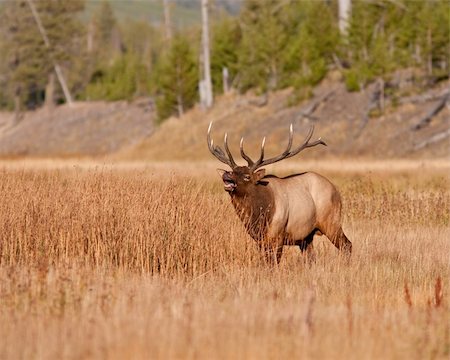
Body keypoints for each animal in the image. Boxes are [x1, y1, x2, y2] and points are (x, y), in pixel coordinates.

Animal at [207, 122, 352, 262]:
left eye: (247, 176)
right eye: (232, 171)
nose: (226, 174)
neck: (259, 216)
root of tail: (336, 190)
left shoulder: (278, 236)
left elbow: (273, 263)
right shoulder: (260, 240)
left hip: (331, 221)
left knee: (347, 245)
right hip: (307, 237)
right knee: (311, 258)